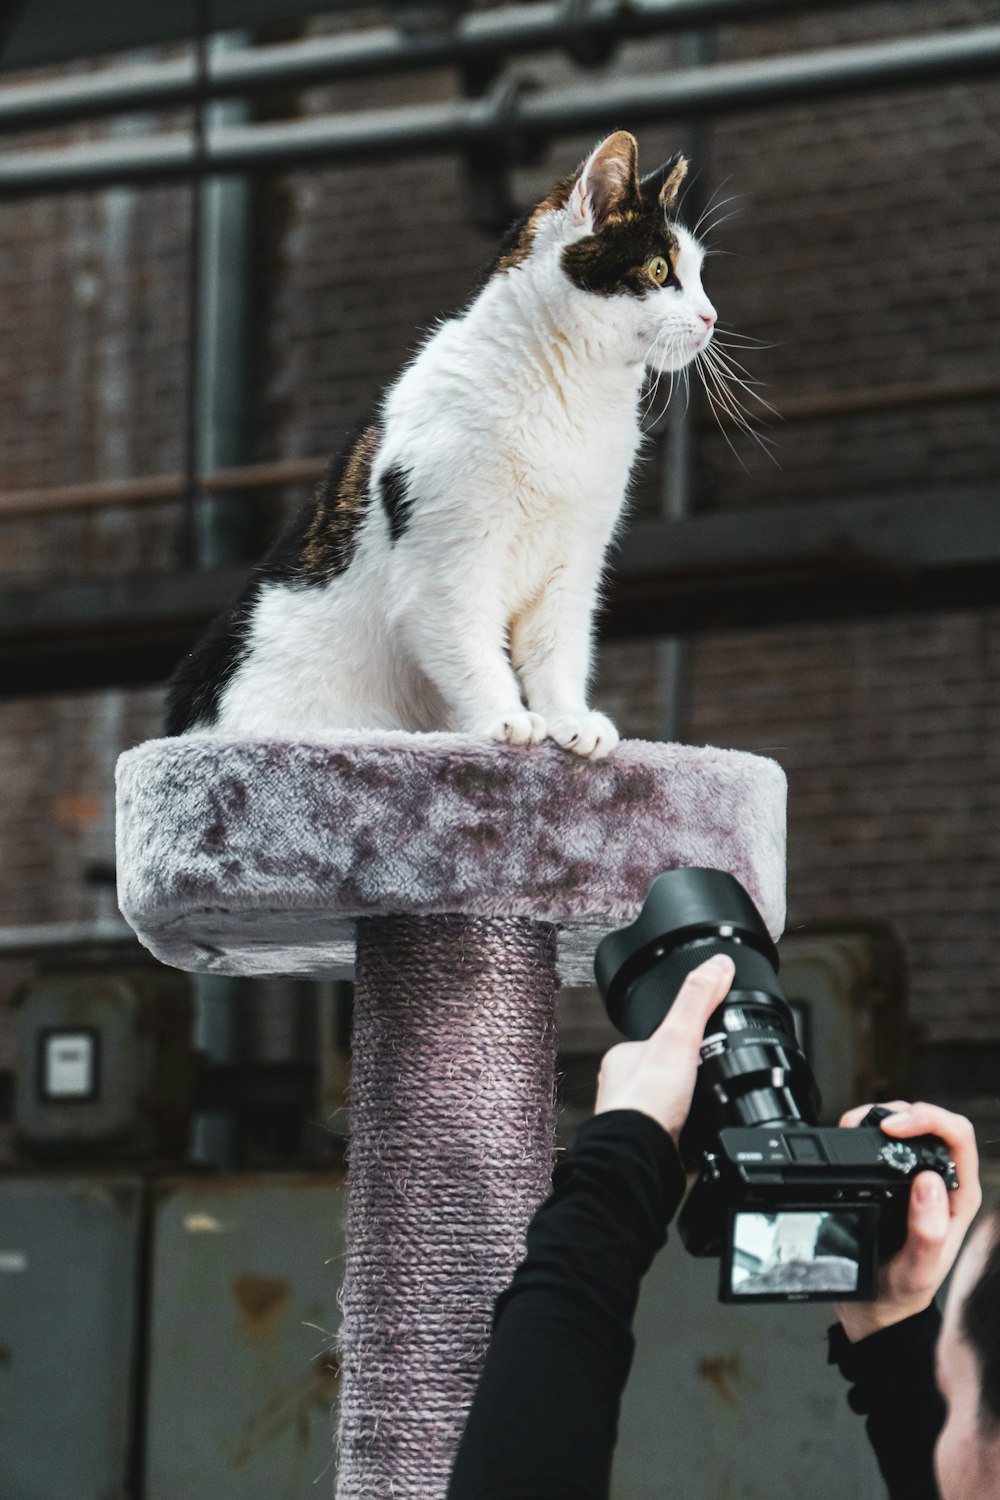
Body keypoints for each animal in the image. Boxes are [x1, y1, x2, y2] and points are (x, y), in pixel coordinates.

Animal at [167, 130, 719, 762]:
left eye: (698, 273)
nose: (710, 316)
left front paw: (571, 721)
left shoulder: (573, 563)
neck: (574, 396)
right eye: (659, 268)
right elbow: (469, 645)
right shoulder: (447, 564)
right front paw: (507, 719)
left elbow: (559, 653)